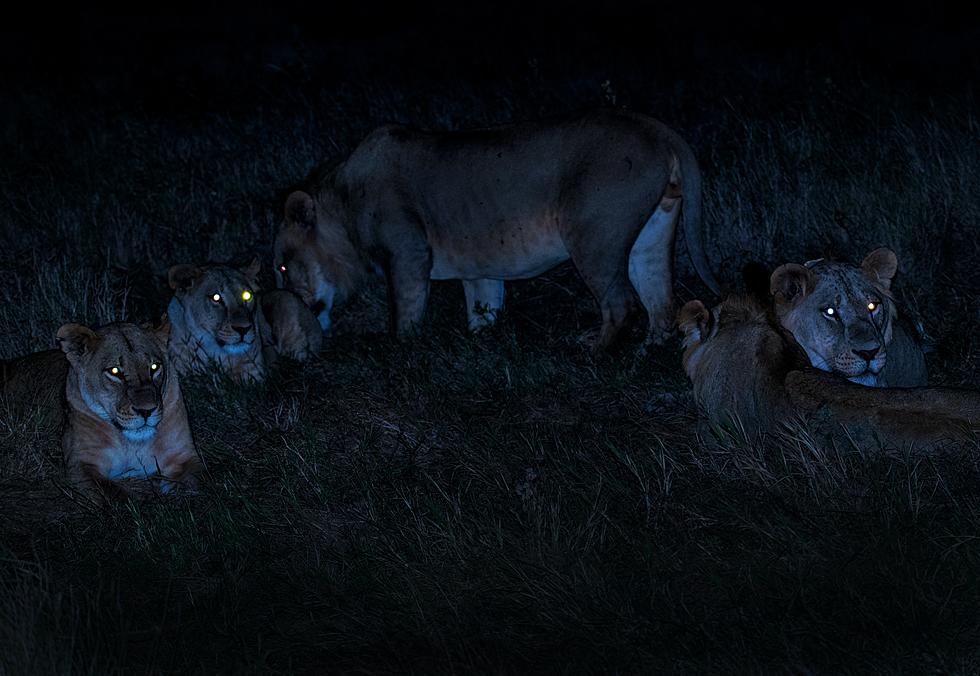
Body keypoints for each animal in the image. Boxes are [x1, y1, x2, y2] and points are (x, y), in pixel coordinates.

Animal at [0, 320, 201, 500]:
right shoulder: (81, 464)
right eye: (115, 371)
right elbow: (113, 494)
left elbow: (195, 481)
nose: (146, 411)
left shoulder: (185, 456)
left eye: (154, 367)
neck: (132, 442)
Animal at [274, 108, 720, 352]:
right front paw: (479, 344)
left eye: (281, 267)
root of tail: (659, 128)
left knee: (621, 303)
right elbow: (482, 308)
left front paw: (401, 351)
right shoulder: (479, 271)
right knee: (660, 302)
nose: (288, 305)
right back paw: (646, 354)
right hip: (653, 234)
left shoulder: (408, 253)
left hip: (593, 236)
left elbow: (405, 311)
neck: (344, 201)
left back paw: (593, 354)